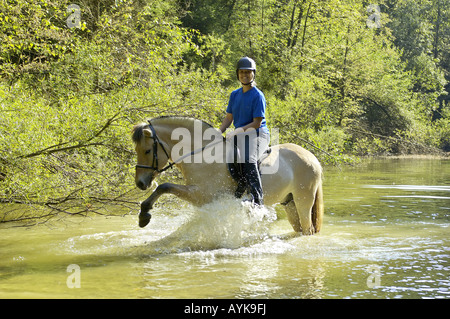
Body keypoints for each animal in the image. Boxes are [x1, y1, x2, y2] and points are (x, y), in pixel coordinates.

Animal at [131, 116, 324, 236]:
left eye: (147, 151)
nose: (140, 183)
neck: (202, 154)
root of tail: (312, 157)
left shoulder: (201, 195)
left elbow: (165, 186)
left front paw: (144, 215)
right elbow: (164, 188)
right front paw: (144, 214)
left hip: (303, 200)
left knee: (307, 229)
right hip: (289, 202)